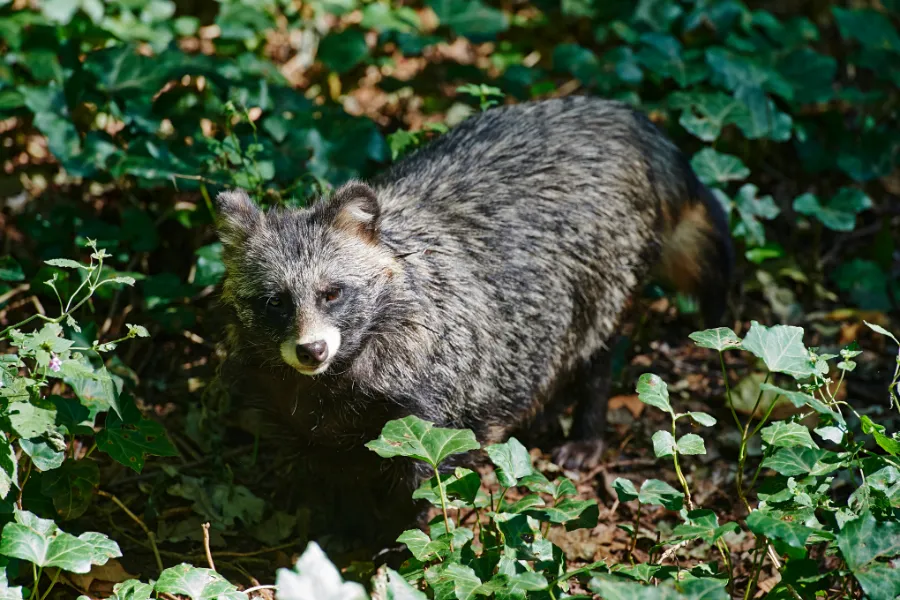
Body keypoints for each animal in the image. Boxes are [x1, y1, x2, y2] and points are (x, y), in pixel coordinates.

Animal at [216, 97, 732, 540]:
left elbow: (424, 488)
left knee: (597, 350)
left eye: (332, 293)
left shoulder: (431, 407)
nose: (312, 350)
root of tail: (624, 115)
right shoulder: (304, 419)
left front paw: (396, 547)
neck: (335, 380)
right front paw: (340, 531)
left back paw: (588, 426)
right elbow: (333, 477)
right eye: (276, 302)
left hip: (607, 271)